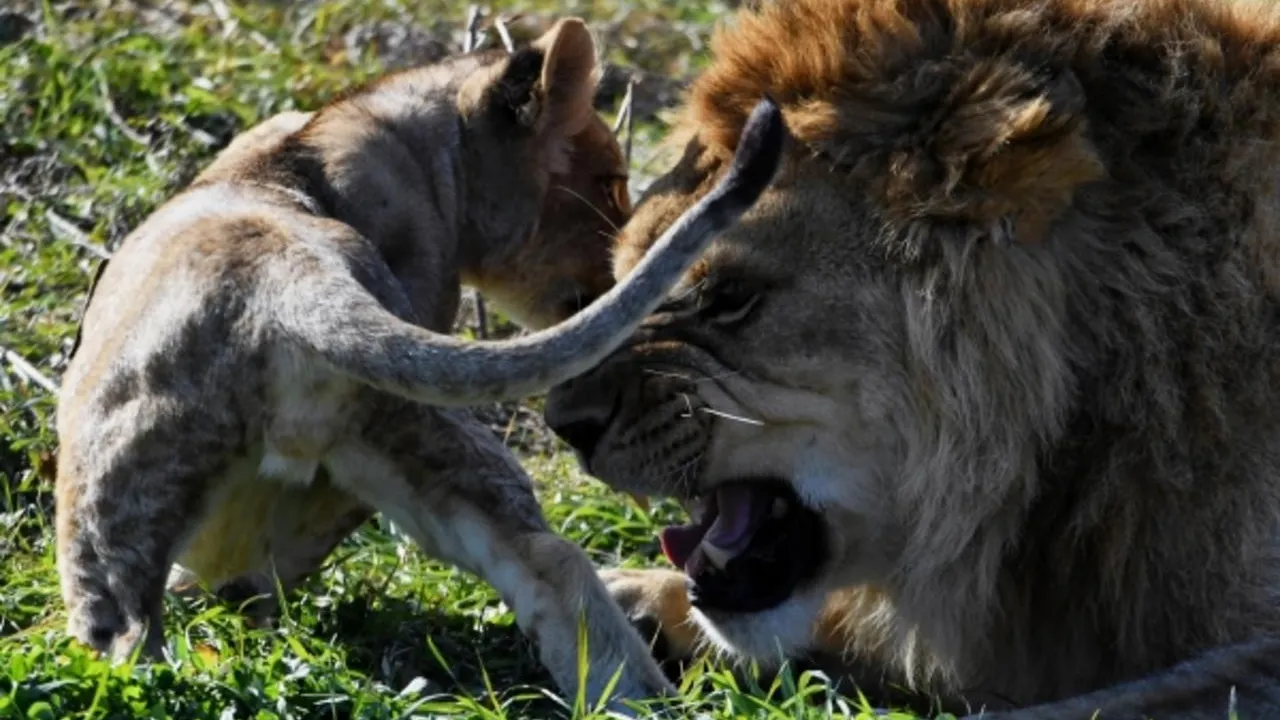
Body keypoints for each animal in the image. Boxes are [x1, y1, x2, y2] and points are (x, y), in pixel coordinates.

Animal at [55, 11, 783, 702]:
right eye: (609, 183)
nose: (615, 270)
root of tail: (293, 278)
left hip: (113, 477)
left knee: (122, 630)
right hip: (410, 430)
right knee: (546, 557)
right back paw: (631, 692)